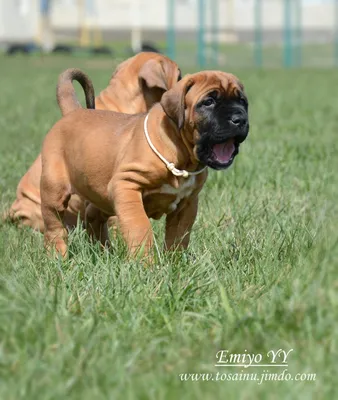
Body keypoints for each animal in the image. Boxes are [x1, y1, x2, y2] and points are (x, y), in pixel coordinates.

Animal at [41, 69, 250, 256]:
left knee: (93, 215)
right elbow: (139, 227)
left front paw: (175, 264)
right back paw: (59, 257)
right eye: (208, 102)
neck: (181, 155)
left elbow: (178, 237)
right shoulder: (126, 186)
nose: (240, 119)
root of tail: (73, 112)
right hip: (54, 192)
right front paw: (145, 264)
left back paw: (104, 252)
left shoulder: (187, 204)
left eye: (242, 102)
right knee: (55, 228)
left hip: (101, 195)